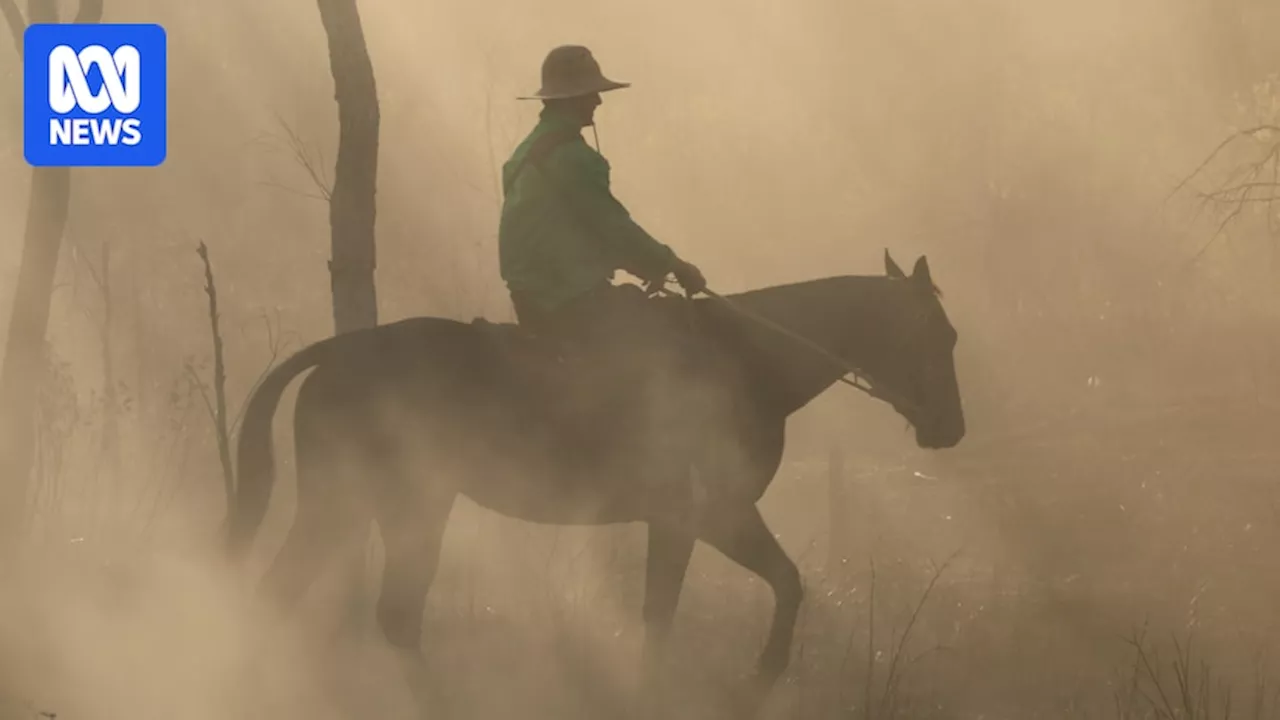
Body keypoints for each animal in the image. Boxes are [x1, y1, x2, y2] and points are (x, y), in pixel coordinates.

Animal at [225, 249, 962, 707]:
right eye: (941, 335)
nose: (951, 427)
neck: (747, 360)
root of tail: (339, 352)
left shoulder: (678, 525)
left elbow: (662, 613)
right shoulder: (714, 516)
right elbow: (782, 584)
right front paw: (751, 687)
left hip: (353, 506)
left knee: (306, 597)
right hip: (398, 507)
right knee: (387, 612)